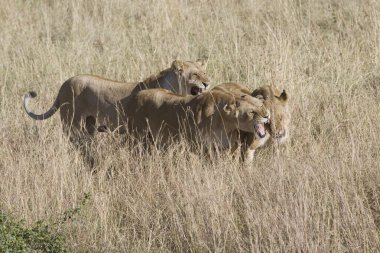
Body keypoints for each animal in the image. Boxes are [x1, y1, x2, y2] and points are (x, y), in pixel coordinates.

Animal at [116, 87, 270, 154]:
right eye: (252, 112)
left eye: (261, 105)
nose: (267, 115)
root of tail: (134, 96)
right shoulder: (197, 145)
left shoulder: (228, 146)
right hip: (136, 138)